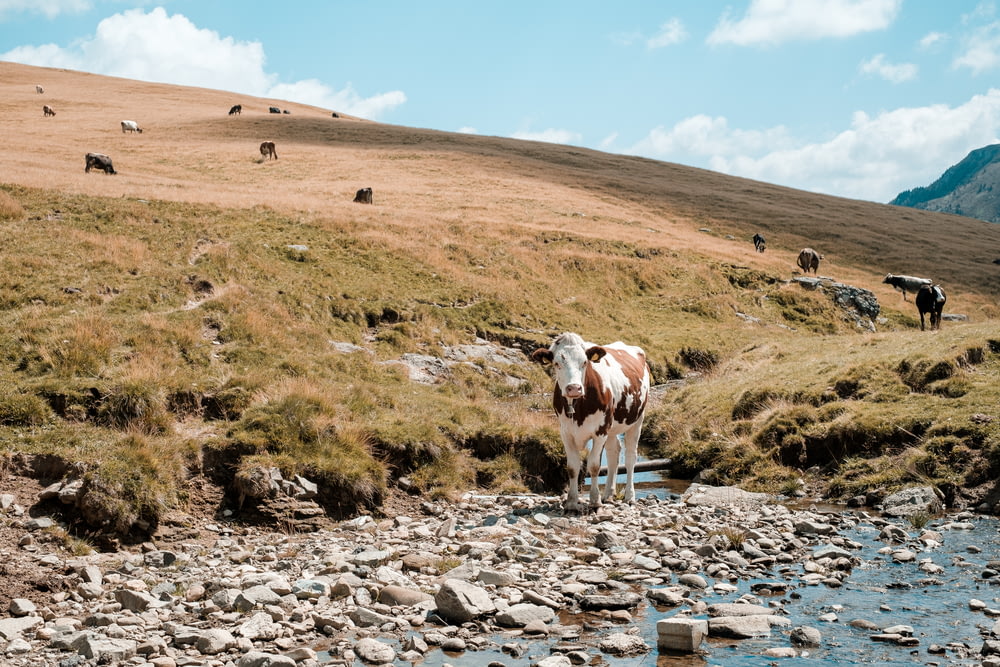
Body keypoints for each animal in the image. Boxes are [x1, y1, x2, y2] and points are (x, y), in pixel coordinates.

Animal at [532, 332, 648, 512]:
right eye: (557, 363)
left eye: (584, 362)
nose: (574, 388)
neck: (579, 408)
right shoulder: (566, 432)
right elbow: (573, 467)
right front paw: (572, 503)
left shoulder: (600, 431)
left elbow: (594, 465)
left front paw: (594, 501)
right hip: (612, 427)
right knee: (614, 453)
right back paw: (608, 494)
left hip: (637, 420)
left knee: (630, 457)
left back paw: (629, 496)